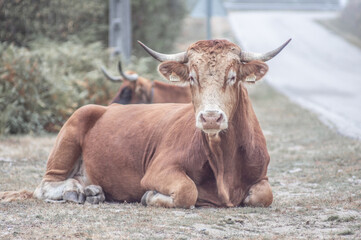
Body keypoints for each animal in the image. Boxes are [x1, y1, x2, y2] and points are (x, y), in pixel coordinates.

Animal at [0, 38, 290, 207]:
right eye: (192, 77)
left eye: (232, 76)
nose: (210, 117)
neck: (224, 163)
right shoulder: (158, 170)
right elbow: (187, 191)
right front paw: (150, 196)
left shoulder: (262, 175)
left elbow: (263, 196)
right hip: (72, 130)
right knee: (44, 186)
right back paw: (77, 191)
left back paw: (92, 191)